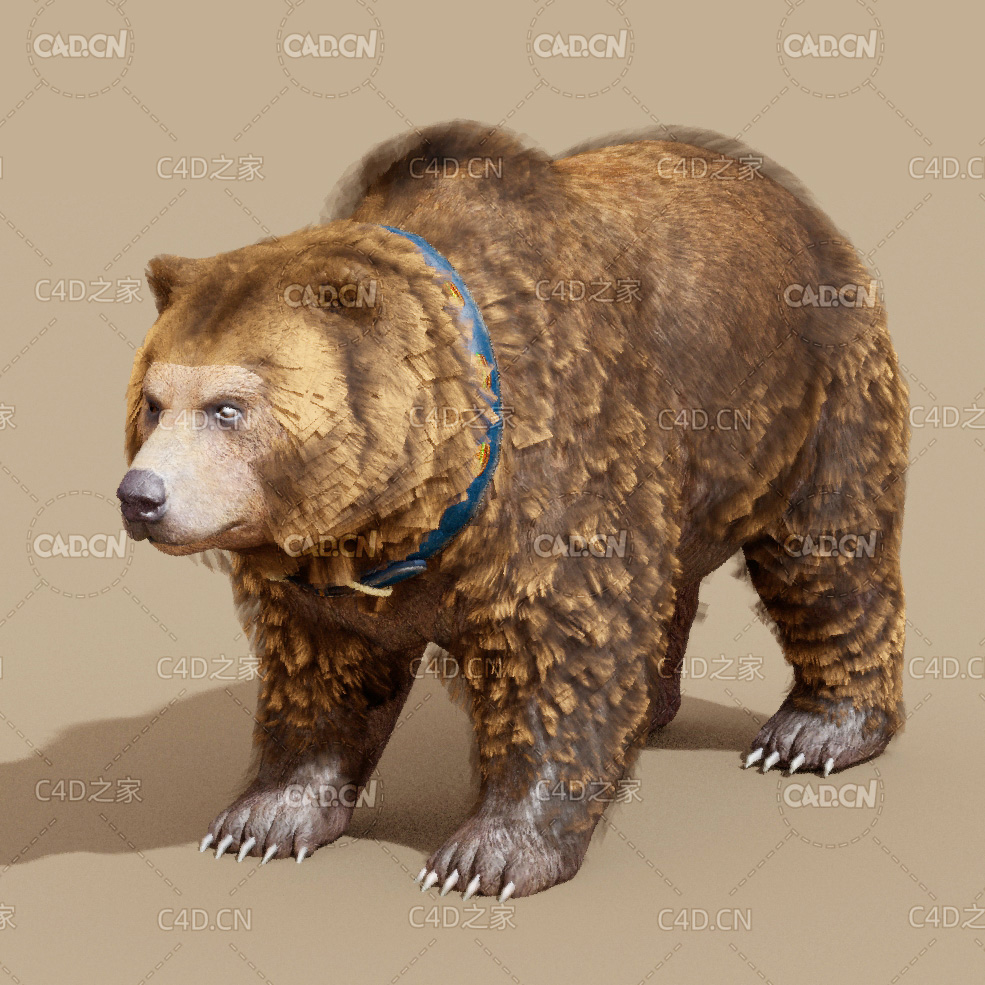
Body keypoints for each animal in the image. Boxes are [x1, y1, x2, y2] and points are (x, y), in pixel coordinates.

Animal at [118, 120, 909, 901]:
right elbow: (324, 670)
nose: (141, 497)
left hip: (810, 395)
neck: (415, 507)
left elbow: (559, 657)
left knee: (825, 553)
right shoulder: (329, 568)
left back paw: (813, 732)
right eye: (153, 401)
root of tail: (788, 198)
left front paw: (486, 856)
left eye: (227, 406)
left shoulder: (554, 473)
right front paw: (261, 818)